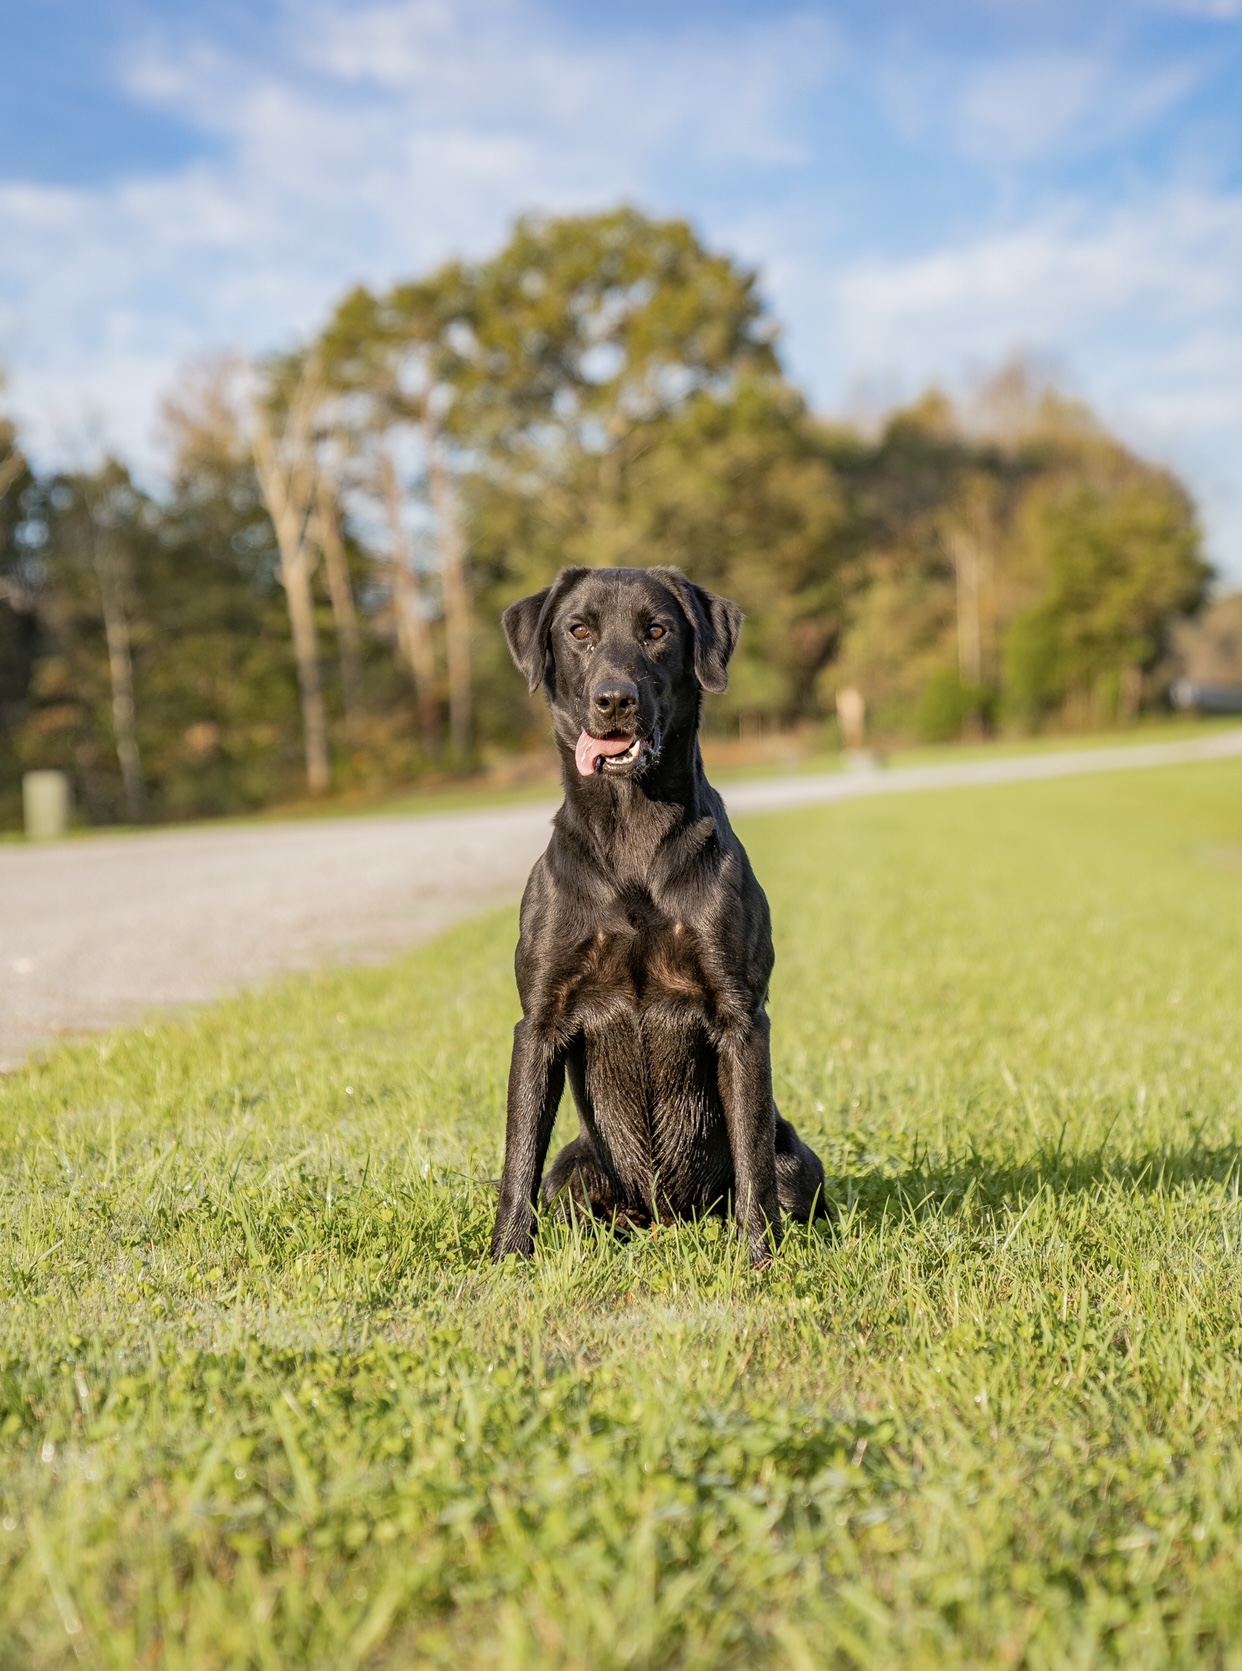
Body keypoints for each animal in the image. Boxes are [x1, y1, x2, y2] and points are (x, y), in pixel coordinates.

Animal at [491, 564, 829, 1263]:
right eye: (579, 631)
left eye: (656, 631)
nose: (614, 700)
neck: (633, 835)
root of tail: (667, 1217)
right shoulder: (538, 1022)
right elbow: (518, 1156)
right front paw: (506, 1258)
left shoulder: (740, 1015)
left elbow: (752, 1157)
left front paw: (758, 1260)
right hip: (575, 1168)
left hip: (798, 1160)